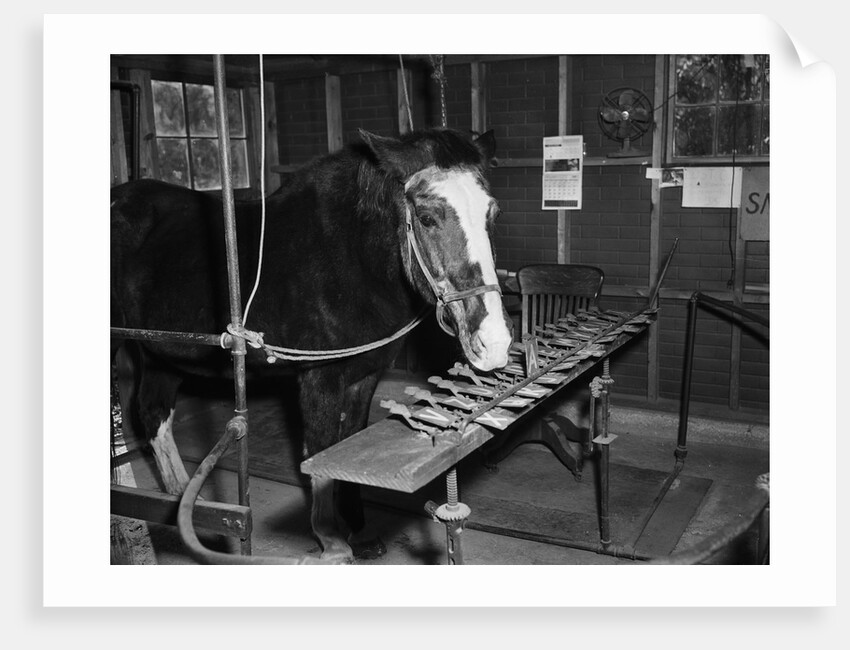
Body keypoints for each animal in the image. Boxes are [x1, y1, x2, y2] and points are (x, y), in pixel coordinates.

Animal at [110, 127, 513, 563]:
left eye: (492, 214)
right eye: (426, 217)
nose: (494, 343)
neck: (351, 258)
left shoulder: (363, 377)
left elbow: (346, 445)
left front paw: (361, 532)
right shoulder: (319, 379)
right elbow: (319, 452)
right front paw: (332, 543)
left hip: (161, 354)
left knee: (154, 415)